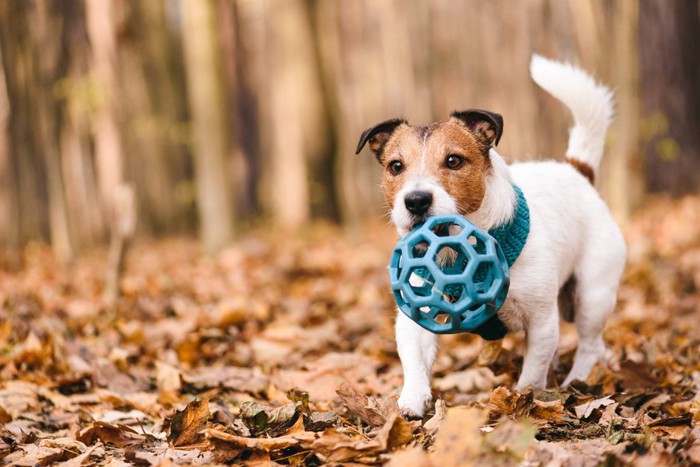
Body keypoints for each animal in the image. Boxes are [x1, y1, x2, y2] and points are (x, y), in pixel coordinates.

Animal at [358, 55, 628, 420]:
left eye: (454, 160)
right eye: (395, 167)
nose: (415, 200)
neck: (455, 253)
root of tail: (576, 170)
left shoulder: (541, 320)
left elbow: (533, 371)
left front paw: (523, 401)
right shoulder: (415, 314)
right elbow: (414, 360)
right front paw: (411, 401)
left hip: (592, 294)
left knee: (590, 343)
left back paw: (578, 378)